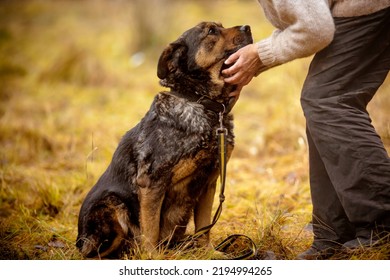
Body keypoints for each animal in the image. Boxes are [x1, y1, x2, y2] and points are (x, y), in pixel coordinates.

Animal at [76, 21, 253, 258]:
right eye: (211, 31)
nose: (247, 27)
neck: (201, 102)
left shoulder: (209, 182)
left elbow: (204, 226)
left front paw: (208, 253)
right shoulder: (152, 182)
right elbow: (151, 230)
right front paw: (153, 256)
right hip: (111, 205)